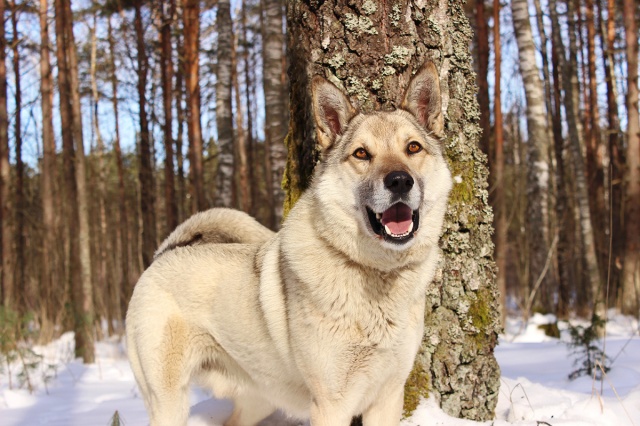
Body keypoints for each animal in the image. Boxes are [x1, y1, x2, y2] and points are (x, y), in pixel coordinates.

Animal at [126, 61, 452, 426]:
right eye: (361, 154)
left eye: (413, 148)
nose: (399, 181)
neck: (375, 273)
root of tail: (162, 255)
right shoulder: (332, 405)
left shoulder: (387, 397)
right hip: (169, 403)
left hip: (257, 400)